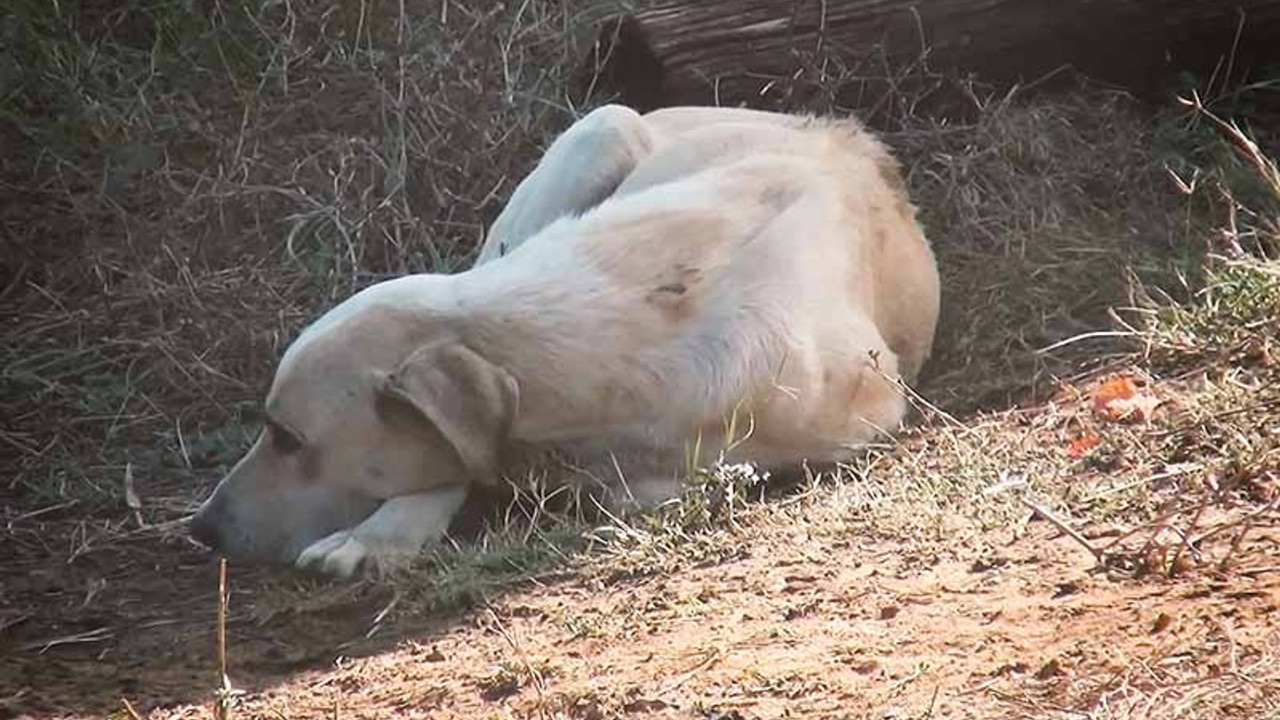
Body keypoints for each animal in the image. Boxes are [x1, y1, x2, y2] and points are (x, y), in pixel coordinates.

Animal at [192, 103, 952, 576]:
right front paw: (384, 533)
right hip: (597, 134)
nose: (200, 530)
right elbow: (460, 465)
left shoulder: (870, 410)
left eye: (287, 439)